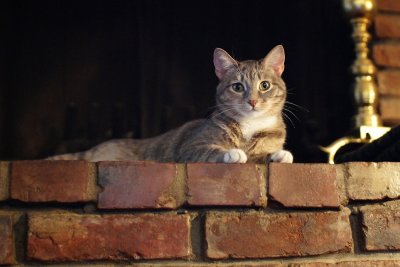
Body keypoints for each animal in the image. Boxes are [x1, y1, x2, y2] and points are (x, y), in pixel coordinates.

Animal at [49, 45, 294, 163]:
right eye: (237, 87)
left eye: (264, 85)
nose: (252, 101)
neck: (250, 127)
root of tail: (92, 150)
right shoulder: (191, 147)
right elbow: (211, 151)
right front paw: (232, 153)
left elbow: (263, 154)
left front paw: (280, 155)